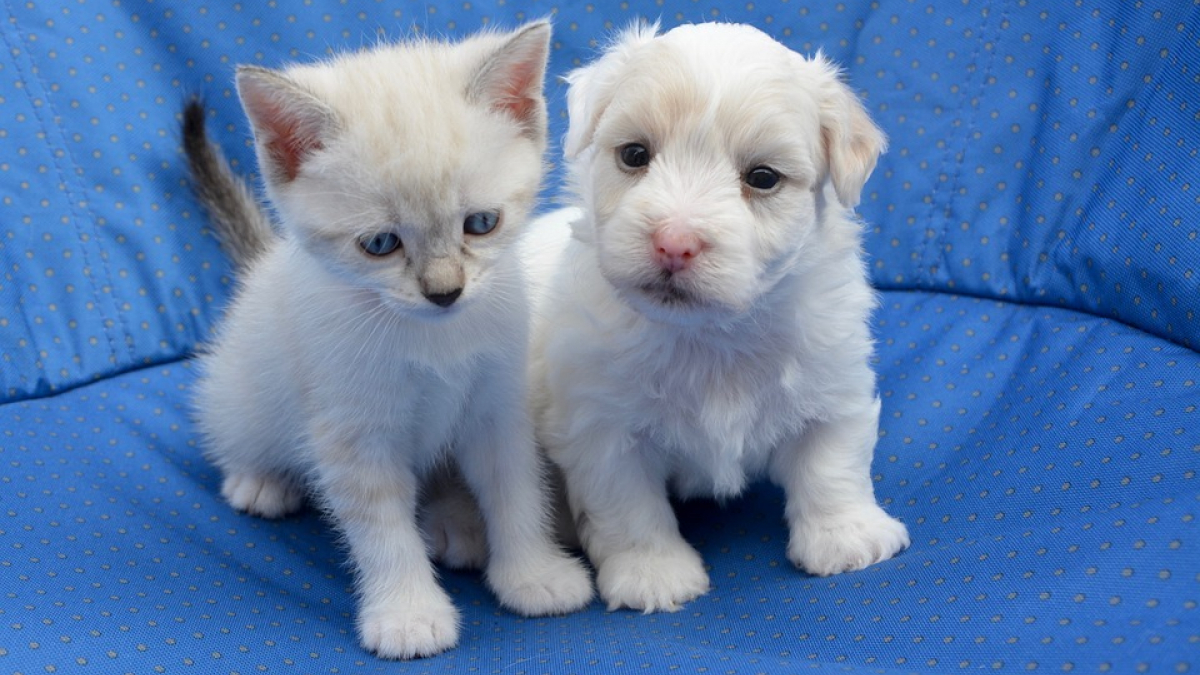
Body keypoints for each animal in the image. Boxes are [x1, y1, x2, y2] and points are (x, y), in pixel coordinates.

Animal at [186, 21, 590, 658]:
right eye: (380, 244)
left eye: (481, 224)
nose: (445, 292)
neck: (433, 339)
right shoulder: (352, 432)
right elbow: (383, 530)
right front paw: (408, 615)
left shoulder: (498, 404)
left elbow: (516, 488)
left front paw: (534, 575)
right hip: (242, 390)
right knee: (234, 426)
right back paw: (261, 480)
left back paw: (456, 522)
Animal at [525, 22, 907, 610]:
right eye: (634, 154)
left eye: (763, 177)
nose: (674, 243)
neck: (710, 334)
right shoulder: (601, 426)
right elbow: (627, 506)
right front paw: (653, 574)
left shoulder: (832, 380)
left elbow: (832, 463)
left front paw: (846, 537)